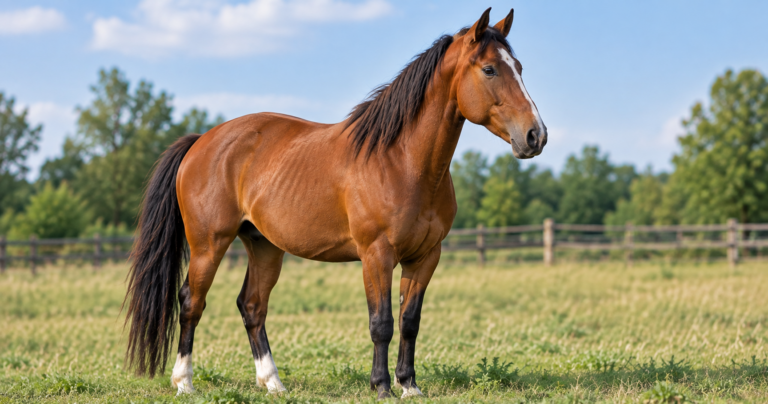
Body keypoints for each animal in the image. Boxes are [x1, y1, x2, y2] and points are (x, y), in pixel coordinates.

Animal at [124, 7, 546, 399]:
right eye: (490, 69)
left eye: (519, 68)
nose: (535, 135)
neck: (402, 161)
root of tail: (201, 141)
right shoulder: (376, 255)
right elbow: (382, 323)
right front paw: (381, 386)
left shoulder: (426, 256)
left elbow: (409, 321)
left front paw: (409, 385)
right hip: (208, 245)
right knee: (191, 302)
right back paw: (184, 382)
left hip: (264, 246)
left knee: (252, 306)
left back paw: (273, 382)